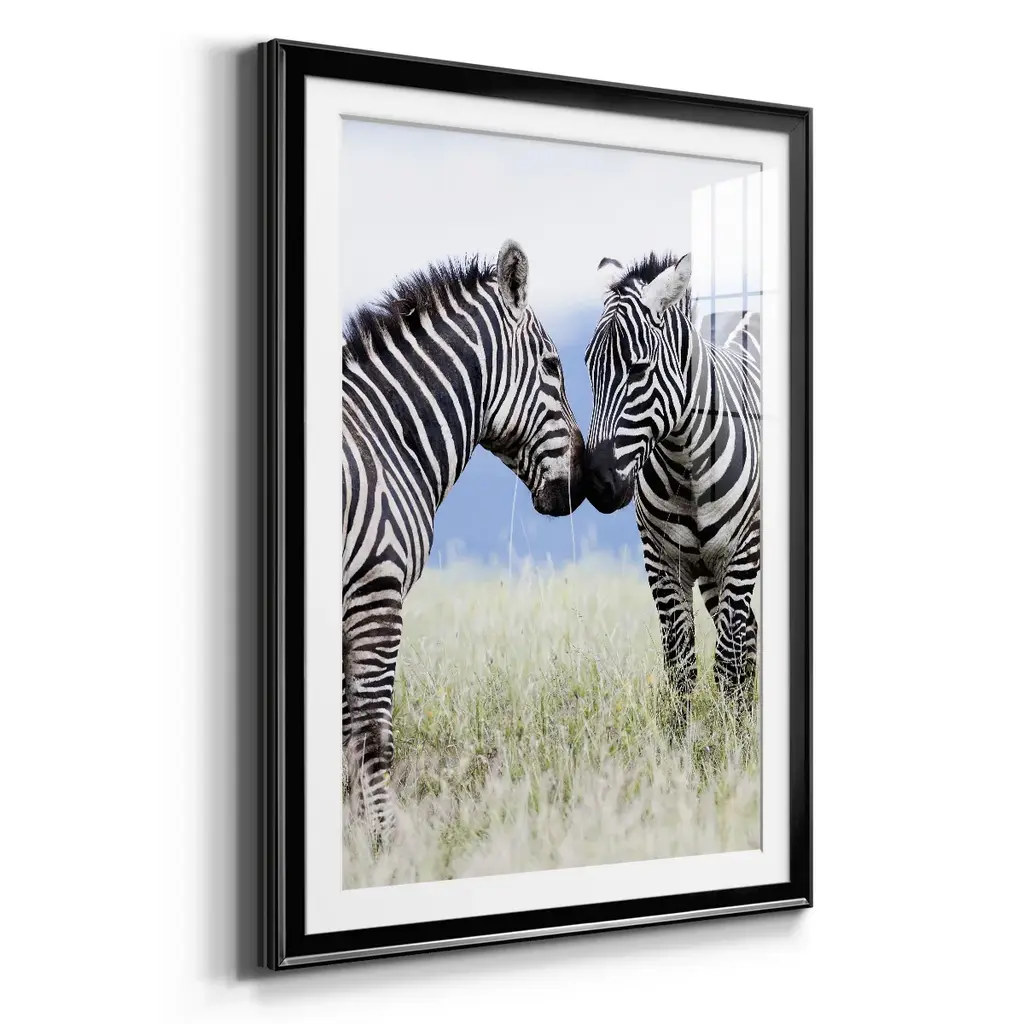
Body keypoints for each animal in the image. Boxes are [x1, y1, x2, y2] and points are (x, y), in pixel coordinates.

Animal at [342, 239, 584, 842]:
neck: (387, 433)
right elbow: (371, 735)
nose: (583, 480)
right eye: (553, 366)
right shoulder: (376, 593)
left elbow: (345, 731)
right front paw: (385, 843)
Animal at [583, 251, 761, 712]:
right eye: (589, 368)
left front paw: (730, 729)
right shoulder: (662, 561)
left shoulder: (740, 553)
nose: (597, 484)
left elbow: (726, 663)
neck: (685, 463)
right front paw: (682, 731)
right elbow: (680, 664)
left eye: (638, 369)